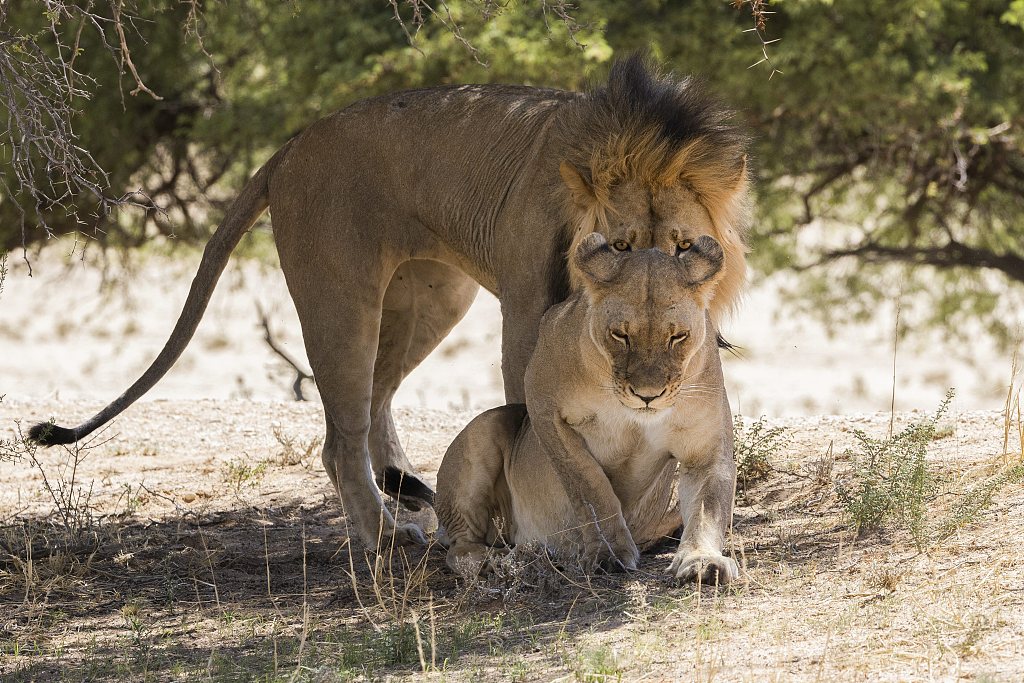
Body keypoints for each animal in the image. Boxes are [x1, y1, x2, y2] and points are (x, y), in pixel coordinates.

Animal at [395, 233, 738, 583]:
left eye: (678, 337)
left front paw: (702, 561)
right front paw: (607, 553)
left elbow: (707, 507)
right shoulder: (543, 405)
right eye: (620, 335)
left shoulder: (705, 446)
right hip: (483, 431)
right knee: (459, 548)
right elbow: (590, 488)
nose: (648, 395)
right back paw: (498, 561)